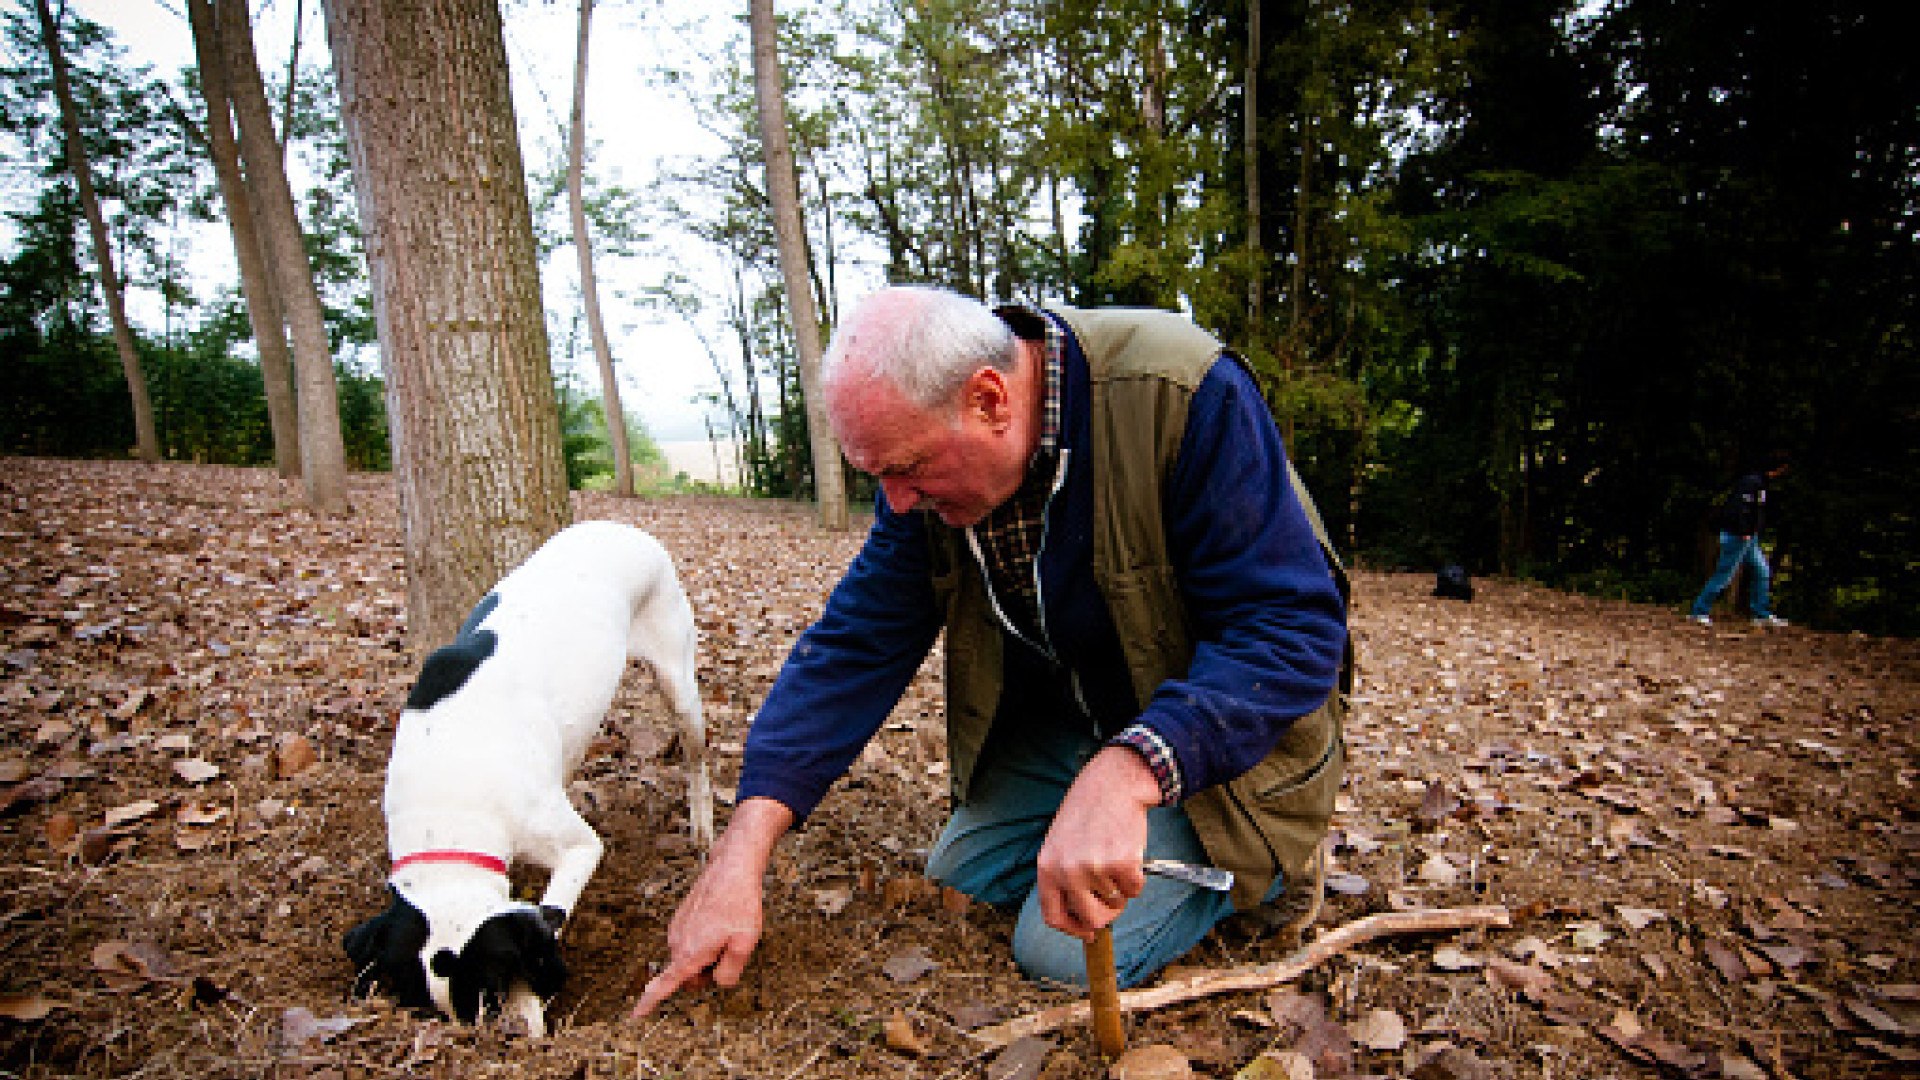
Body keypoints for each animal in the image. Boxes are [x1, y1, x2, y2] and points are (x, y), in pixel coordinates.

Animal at [343, 518, 714, 1030]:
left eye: (488, 991)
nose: (477, 1035)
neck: (451, 799)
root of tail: (621, 525)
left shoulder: (579, 847)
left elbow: (549, 916)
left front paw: (529, 1006)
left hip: (677, 680)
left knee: (696, 755)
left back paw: (703, 829)